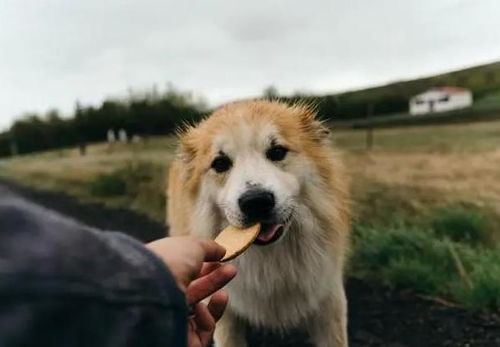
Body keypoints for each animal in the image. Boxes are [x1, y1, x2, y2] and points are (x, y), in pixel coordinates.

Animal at [166, 99, 350, 346]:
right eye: (220, 163)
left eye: (277, 152)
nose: (256, 202)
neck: (271, 259)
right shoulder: (226, 313)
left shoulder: (329, 303)